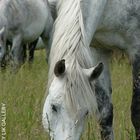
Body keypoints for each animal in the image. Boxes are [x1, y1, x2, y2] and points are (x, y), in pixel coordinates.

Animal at [42, 0, 140, 140]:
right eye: (53, 107)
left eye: (86, 112)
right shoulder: (97, 50)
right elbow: (105, 115)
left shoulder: (136, 50)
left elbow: (137, 114)